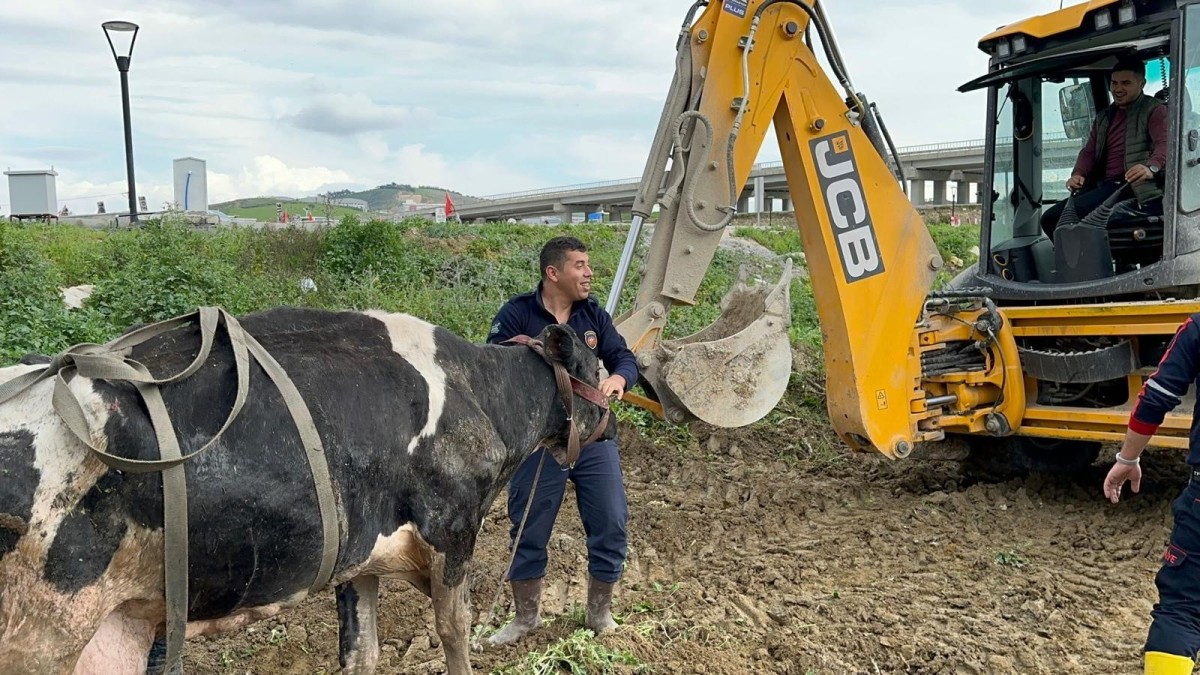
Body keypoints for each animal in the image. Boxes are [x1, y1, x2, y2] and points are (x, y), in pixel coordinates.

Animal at [0, 306, 614, 672]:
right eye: (596, 364)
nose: (613, 412)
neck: (481, 395)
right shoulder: (453, 530)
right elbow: (454, 631)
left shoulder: (360, 556)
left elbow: (361, 652)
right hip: (43, 634)